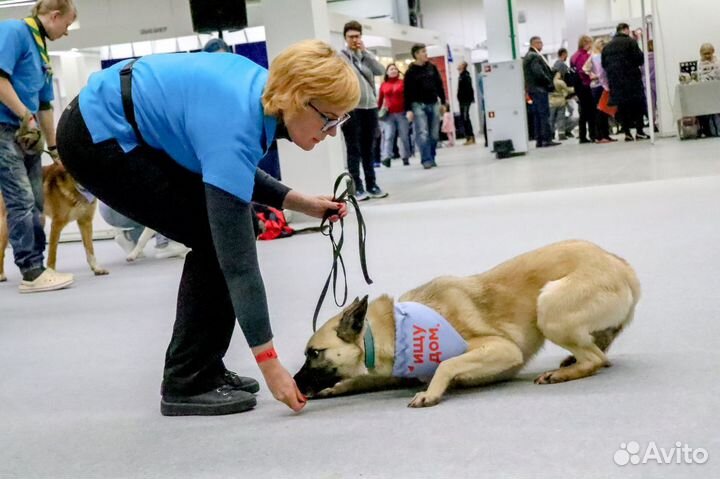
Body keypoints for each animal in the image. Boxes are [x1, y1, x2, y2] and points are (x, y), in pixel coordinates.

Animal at [292, 240, 640, 408]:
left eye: (314, 353)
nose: (293, 384)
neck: (392, 330)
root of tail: (621, 264)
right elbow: (358, 381)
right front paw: (336, 388)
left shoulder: (502, 349)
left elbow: (447, 365)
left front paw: (431, 392)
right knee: (599, 350)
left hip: (548, 307)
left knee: (596, 358)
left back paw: (562, 373)